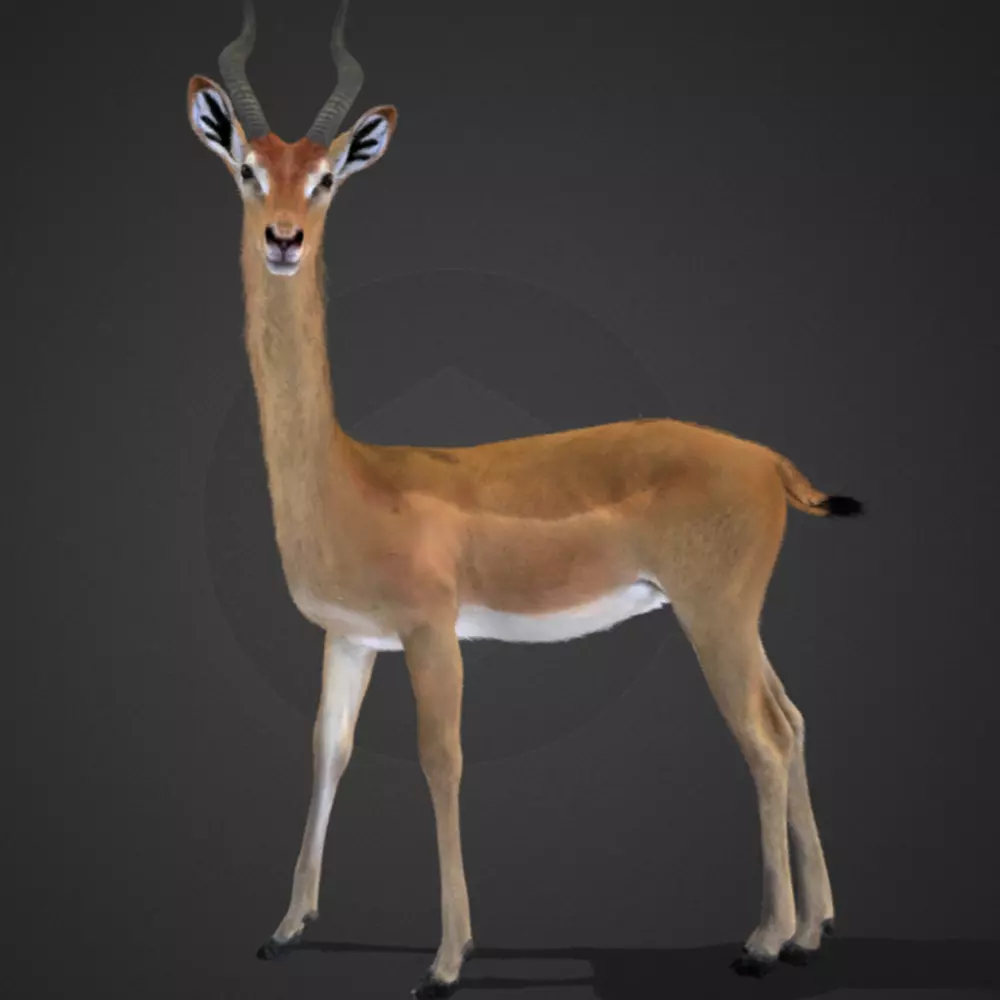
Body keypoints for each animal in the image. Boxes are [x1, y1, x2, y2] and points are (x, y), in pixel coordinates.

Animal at [186, 1, 863, 995]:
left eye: (324, 180)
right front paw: (286, 928)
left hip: (714, 615)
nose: (283, 238)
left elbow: (442, 761)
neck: (350, 478)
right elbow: (328, 752)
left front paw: (446, 960)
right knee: (795, 720)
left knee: (764, 738)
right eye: (248, 169)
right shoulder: (350, 637)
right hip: (733, 618)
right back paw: (814, 929)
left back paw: (765, 941)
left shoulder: (432, 631)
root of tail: (771, 463)